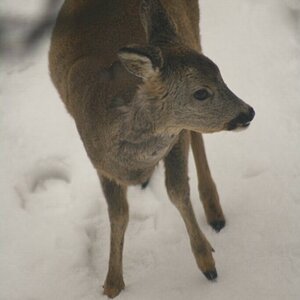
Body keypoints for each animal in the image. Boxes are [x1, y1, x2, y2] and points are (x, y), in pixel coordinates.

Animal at [49, 0, 255, 296]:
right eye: (201, 93)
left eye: (222, 77)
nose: (248, 112)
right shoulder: (101, 165)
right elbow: (119, 215)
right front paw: (112, 285)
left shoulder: (175, 138)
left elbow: (177, 191)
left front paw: (208, 264)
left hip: (194, 32)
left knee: (197, 138)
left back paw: (214, 212)